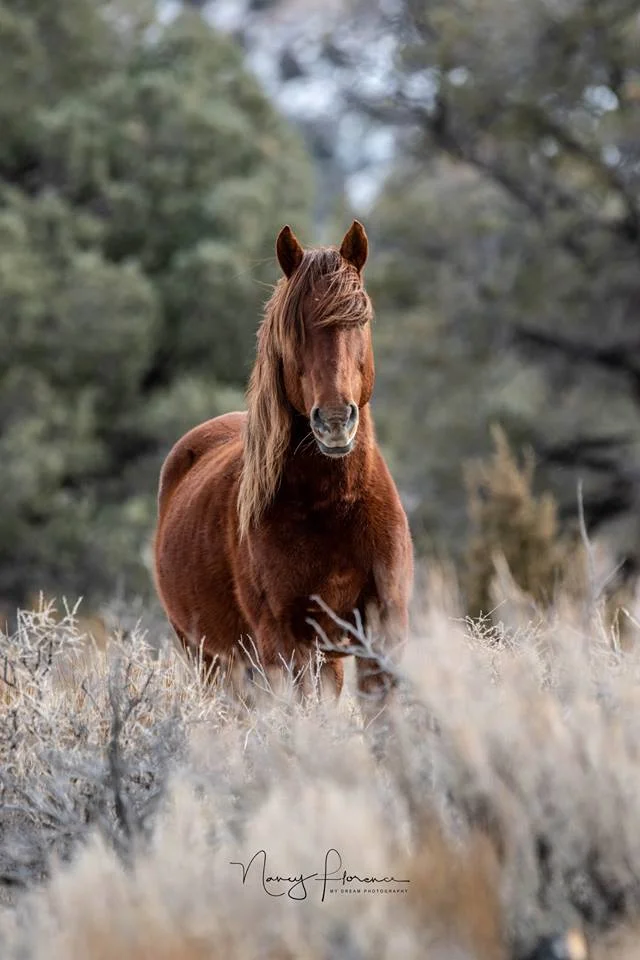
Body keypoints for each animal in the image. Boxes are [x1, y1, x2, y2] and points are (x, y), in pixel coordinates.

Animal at [153, 220, 413, 709]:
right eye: (297, 331)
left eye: (361, 320)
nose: (335, 420)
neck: (336, 507)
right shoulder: (285, 642)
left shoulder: (381, 632)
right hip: (210, 658)